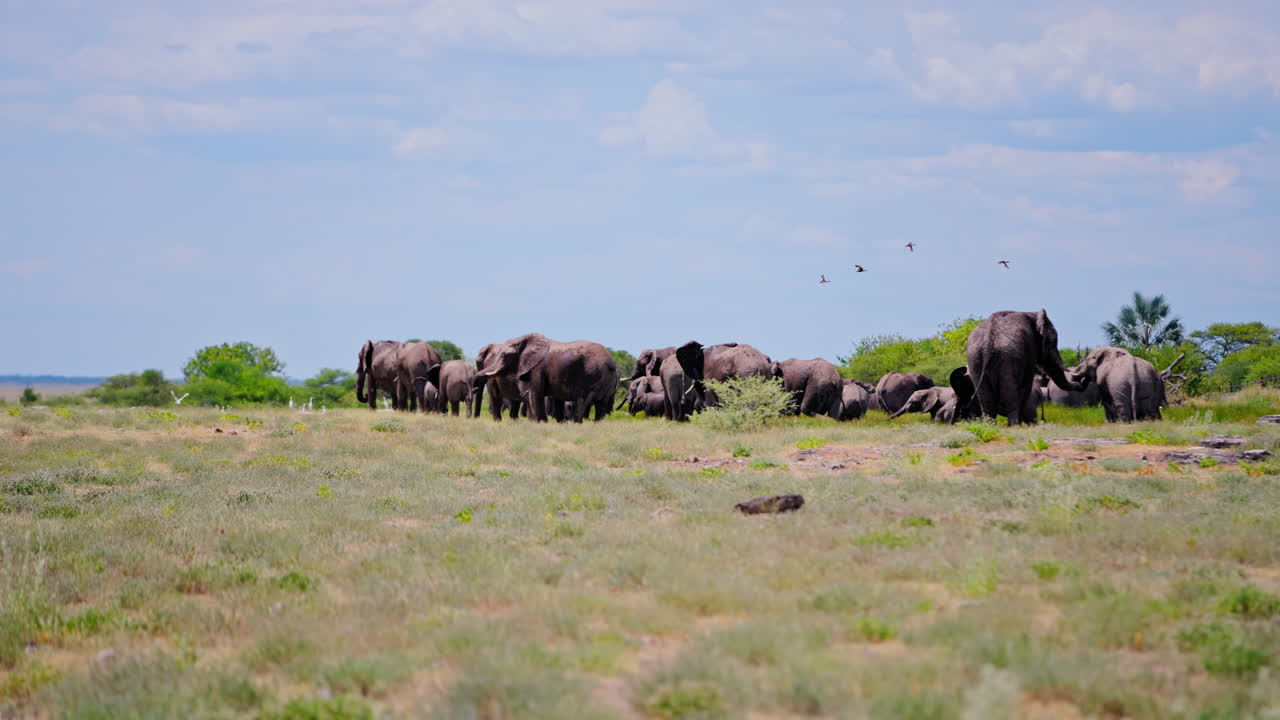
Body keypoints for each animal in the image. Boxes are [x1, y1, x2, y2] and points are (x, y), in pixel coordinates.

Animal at [476, 333, 618, 422]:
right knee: (601, 404)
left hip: (592, 374)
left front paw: (542, 422)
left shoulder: (537, 368)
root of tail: (611, 362)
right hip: (607, 379)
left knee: (582, 399)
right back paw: (597, 424)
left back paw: (577, 423)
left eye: (504, 355)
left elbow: (535, 393)